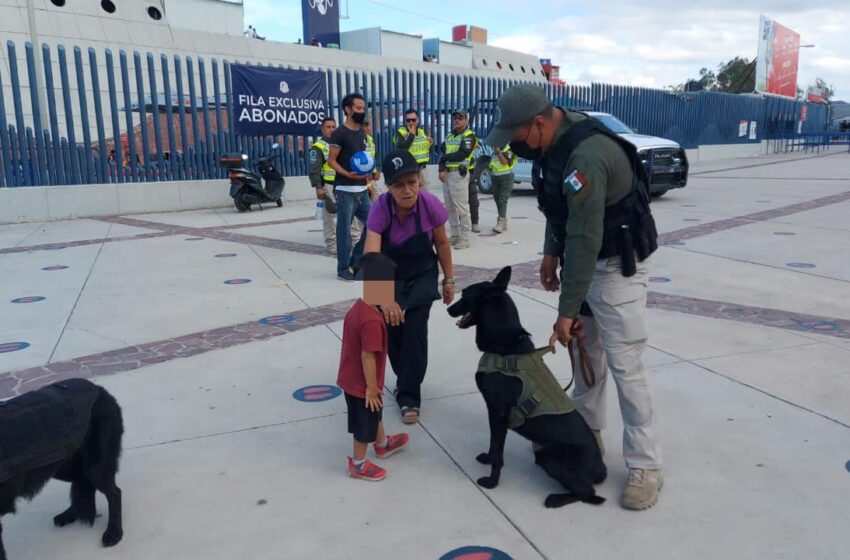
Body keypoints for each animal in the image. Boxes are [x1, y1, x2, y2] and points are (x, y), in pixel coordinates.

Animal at [0, 378, 124, 556]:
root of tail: (101, 390)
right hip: (63, 467)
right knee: (81, 481)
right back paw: (70, 514)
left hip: (96, 467)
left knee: (114, 493)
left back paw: (114, 532)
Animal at [448, 266, 608, 508]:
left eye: (465, 294)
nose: (448, 308)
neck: (504, 344)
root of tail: (600, 468)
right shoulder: (494, 413)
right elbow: (493, 443)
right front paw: (487, 458)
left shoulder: (499, 413)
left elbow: (499, 453)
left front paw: (492, 481)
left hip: (549, 455)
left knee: (588, 493)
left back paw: (556, 498)